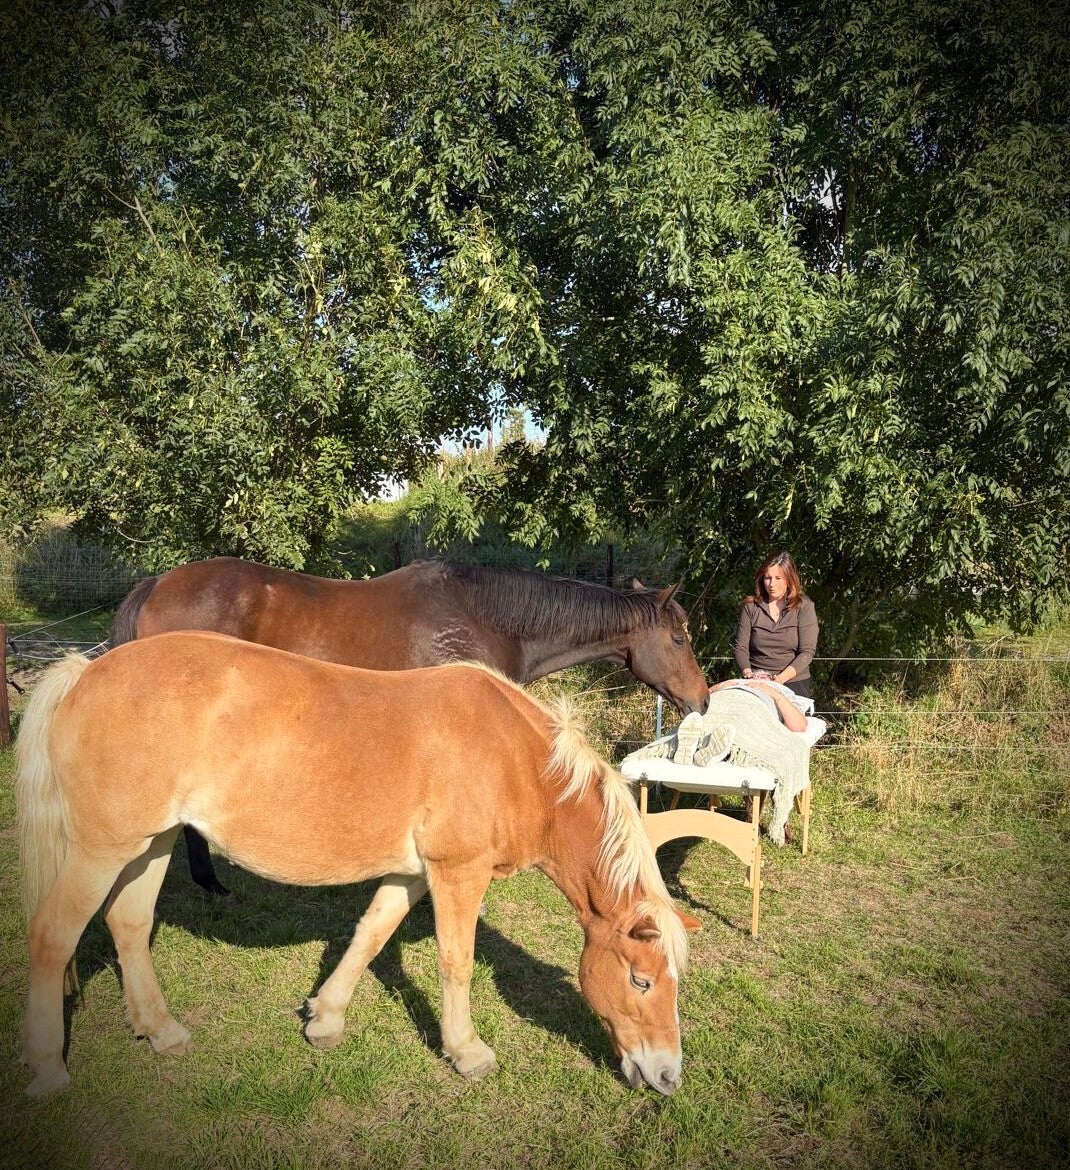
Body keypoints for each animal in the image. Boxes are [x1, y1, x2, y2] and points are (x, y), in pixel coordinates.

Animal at [16, 632, 692, 1099]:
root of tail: (83, 673)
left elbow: (370, 934)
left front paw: (325, 1019)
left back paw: (161, 1031)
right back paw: (47, 1068)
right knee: (52, 936)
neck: (515, 759)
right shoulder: (457, 872)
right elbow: (456, 962)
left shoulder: (413, 873)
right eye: (641, 981)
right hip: (104, 847)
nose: (667, 1076)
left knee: (129, 926)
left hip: (152, 842)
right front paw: (466, 1052)